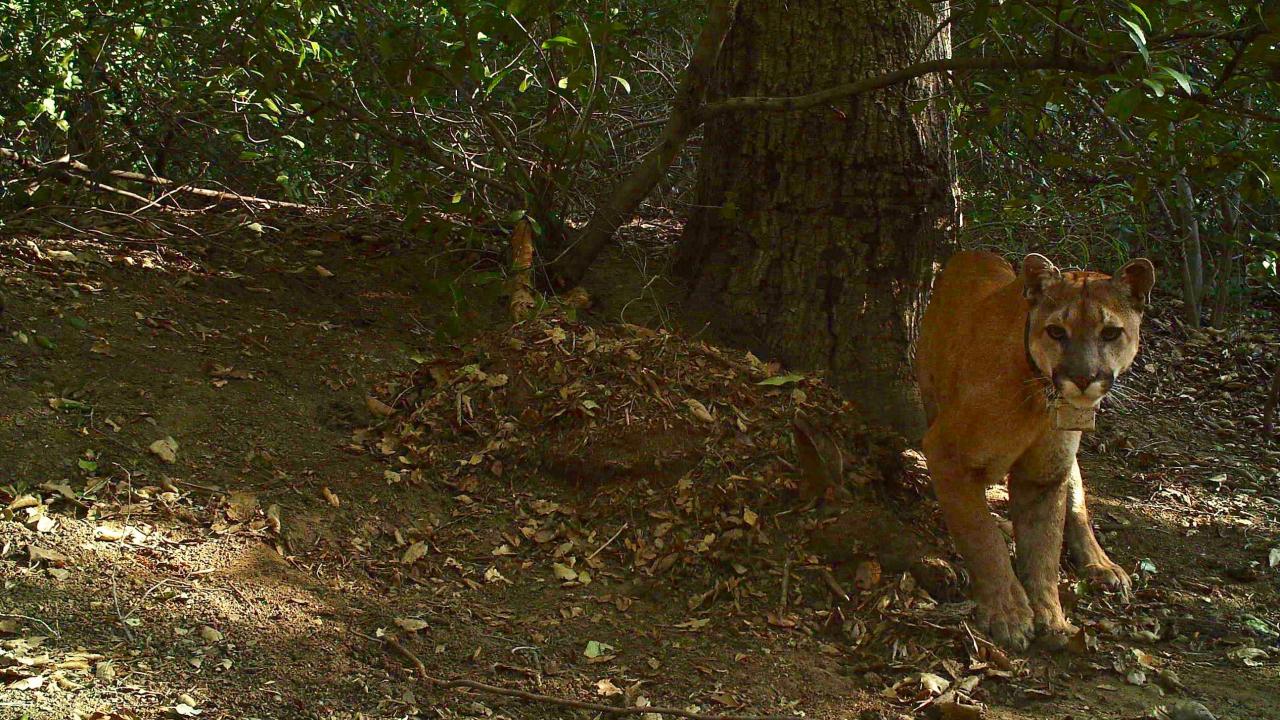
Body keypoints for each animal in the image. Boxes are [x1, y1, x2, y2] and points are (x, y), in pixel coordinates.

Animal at [915, 251, 1155, 649]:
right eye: (1057, 331)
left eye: (1110, 332)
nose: (1083, 378)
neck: (1038, 399)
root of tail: (973, 252)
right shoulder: (946, 453)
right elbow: (982, 536)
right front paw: (1008, 612)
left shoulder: (1045, 475)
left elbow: (1043, 548)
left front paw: (1050, 617)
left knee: (1078, 506)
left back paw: (1103, 565)